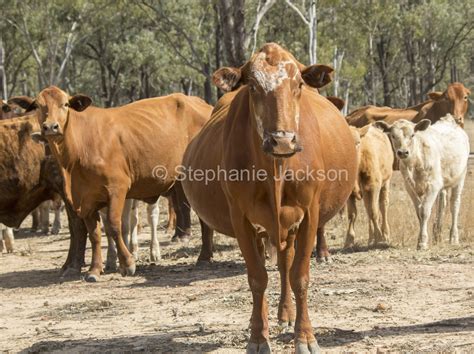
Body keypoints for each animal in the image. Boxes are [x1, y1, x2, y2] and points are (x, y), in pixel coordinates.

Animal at [17, 88, 211, 282]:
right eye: (38, 106)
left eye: (65, 104)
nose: (51, 127)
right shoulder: (85, 198)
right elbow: (95, 233)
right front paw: (95, 269)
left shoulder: (117, 189)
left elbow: (114, 226)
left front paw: (127, 263)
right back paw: (205, 256)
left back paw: (202, 255)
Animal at [181, 44, 356, 354]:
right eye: (252, 86)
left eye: (299, 84)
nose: (282, 140)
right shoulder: (241, 219)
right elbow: (257, 278)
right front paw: (257, 338)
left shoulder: (309, 214)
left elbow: (299, 277)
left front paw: (305, 337)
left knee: (286, 264)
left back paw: (286, 314)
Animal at [374, 115, 470, 250]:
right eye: (392, 135)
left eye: (413, 135)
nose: (403, 152)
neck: (414, 163)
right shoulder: (409, 187)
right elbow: (419, 212)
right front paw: (421, 238)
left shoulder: (433, 185)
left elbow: (424, 211)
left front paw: (423, 242)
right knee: (442, 204)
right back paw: (438, 236)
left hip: (460, 178)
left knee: (454, 206)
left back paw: (454, 237)